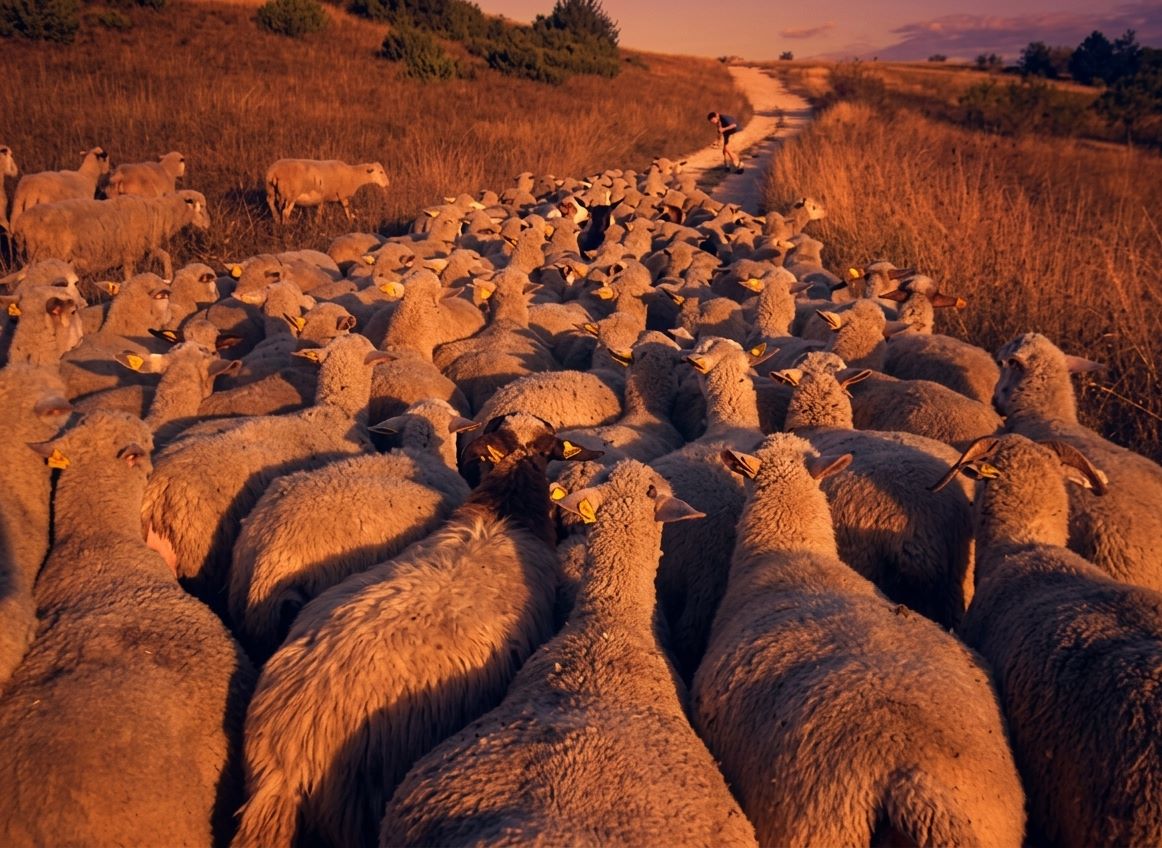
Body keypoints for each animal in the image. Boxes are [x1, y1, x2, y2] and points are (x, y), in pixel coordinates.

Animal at [14, 190, 211, 280]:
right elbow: (130, 274)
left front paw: (168, 276)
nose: (208, 225)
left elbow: (165, 256)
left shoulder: (145, 248)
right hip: (45, 255)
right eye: (201, 208)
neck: (159, 213)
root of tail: (21, 223)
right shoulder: (130, 253)